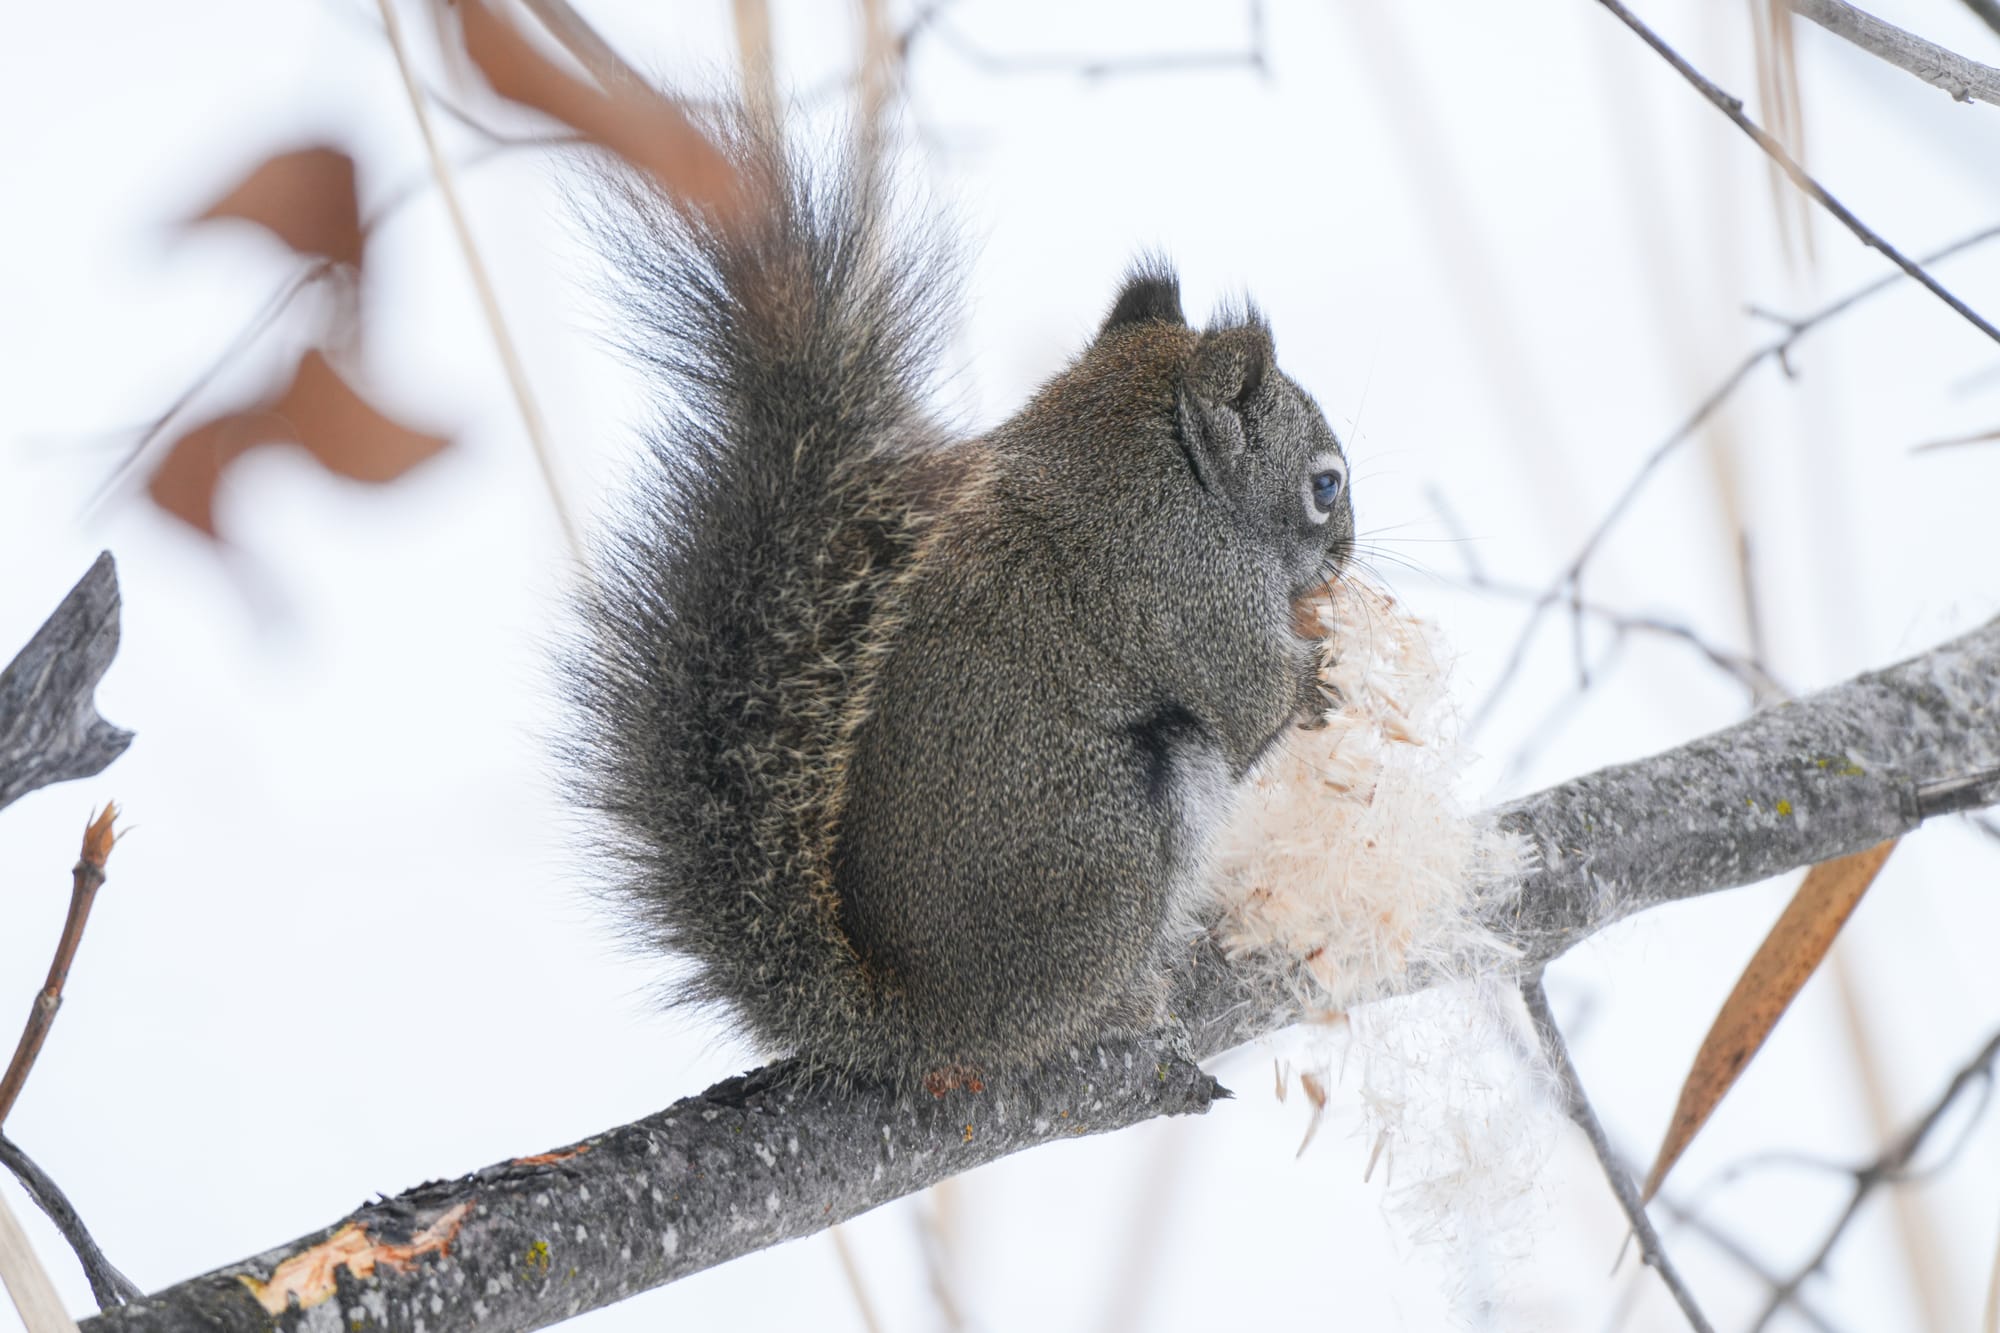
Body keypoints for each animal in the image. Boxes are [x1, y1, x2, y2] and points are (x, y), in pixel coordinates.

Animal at [576, 119, 1360, 1088]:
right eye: (1325, 485)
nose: (1348, 553)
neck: (1161, 458)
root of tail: (917, 1023)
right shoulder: (1197, 594)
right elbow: (1253, 703)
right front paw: (1328, 675)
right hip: (1109, 848)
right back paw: (1118, 1004)